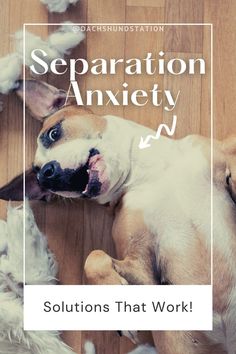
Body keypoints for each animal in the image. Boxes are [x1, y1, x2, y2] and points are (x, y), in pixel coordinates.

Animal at [0, 79, 236, 352]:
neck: (149, 173)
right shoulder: (143, 268)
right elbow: (94, 257)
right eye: (38, 177)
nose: (46, 174)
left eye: (53, 133)